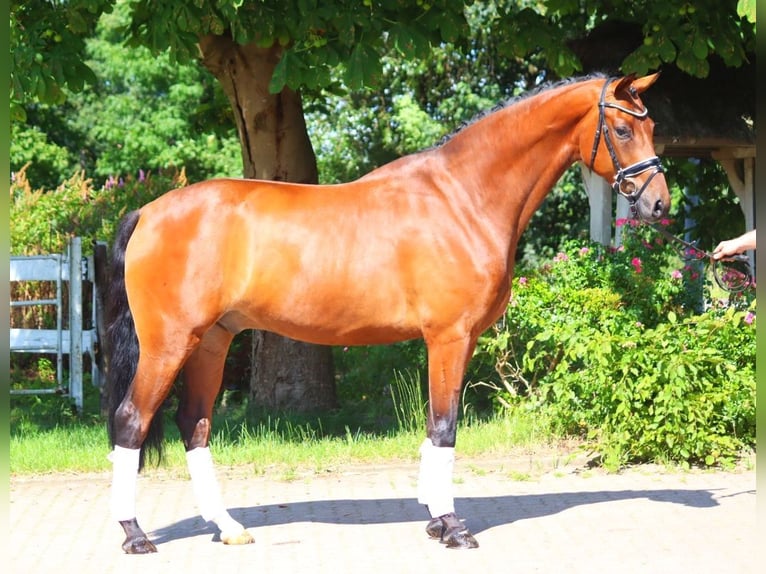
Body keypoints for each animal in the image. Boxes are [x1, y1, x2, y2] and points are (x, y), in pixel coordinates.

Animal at [105, 72, 668, 552]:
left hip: (213, 341)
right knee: (131, 422)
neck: (463, 197)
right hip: (169, 343)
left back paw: (228, 528)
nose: (659, 203)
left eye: (652, 126)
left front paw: (435, 520)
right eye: (622, 128)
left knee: (194, 424)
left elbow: (434, 426)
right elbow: (444, 425)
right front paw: (452, 527)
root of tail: (147, 212)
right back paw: (135, 536)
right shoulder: (449, 337)